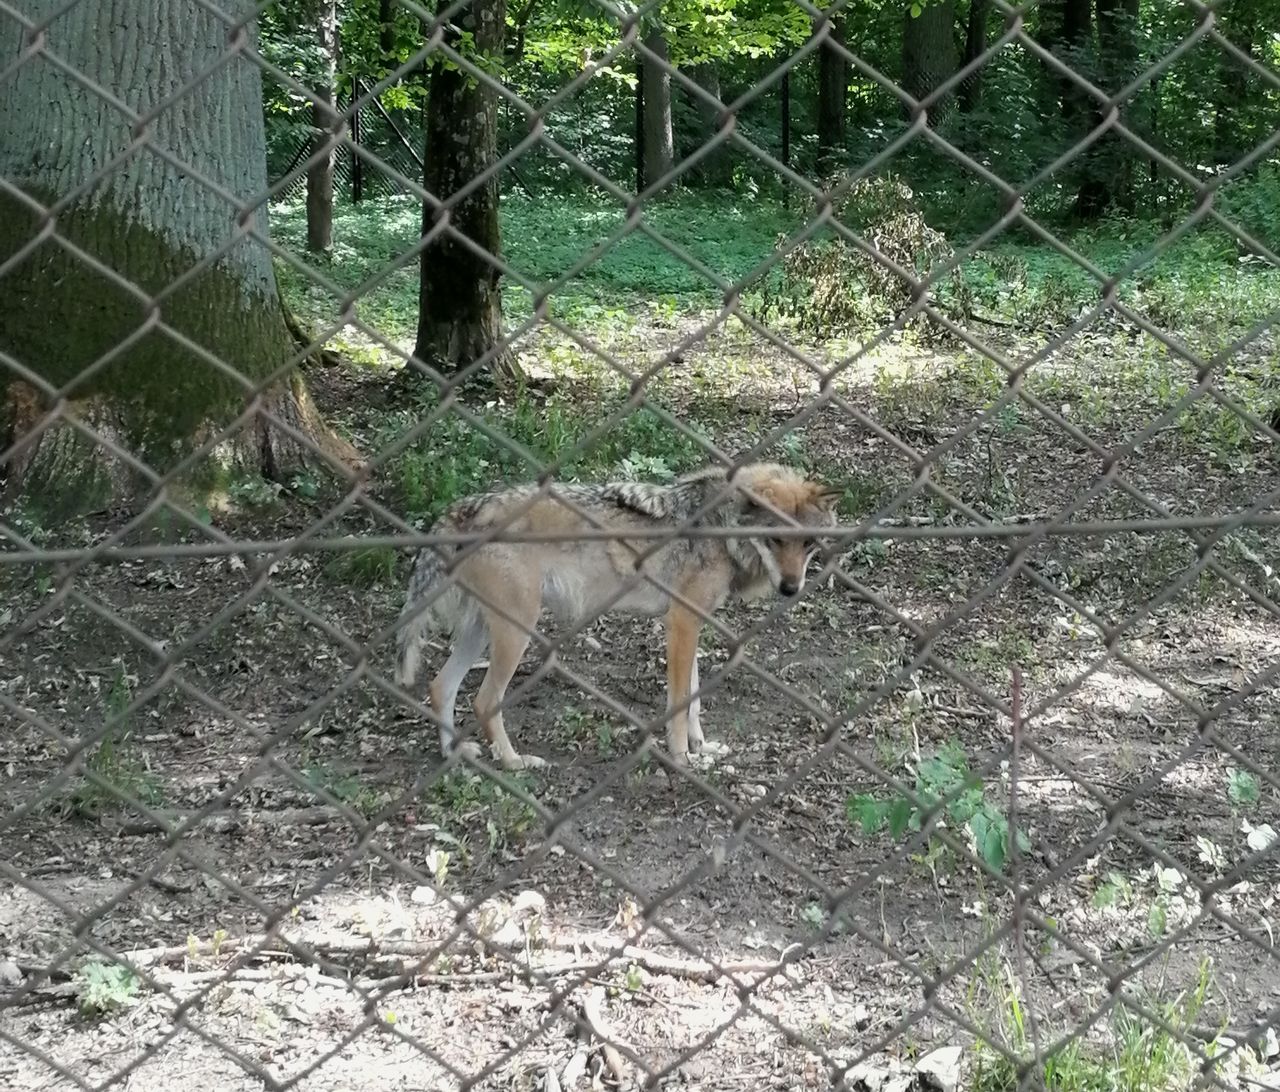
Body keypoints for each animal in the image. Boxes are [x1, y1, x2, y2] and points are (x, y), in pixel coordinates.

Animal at [396, 460, 839, 768]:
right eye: (775, 540)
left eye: (809, 545)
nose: (791, 588)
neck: (723, 529)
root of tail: (462, 509)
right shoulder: (681, 623)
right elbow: (680, 702)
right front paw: (682, 757)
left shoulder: (690, 624)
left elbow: (694, 699)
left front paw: (701, 747)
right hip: (516, 634)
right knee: (483, 700)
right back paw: (512, 762)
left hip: (483, 633)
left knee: (440, 686)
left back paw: (455, 755)